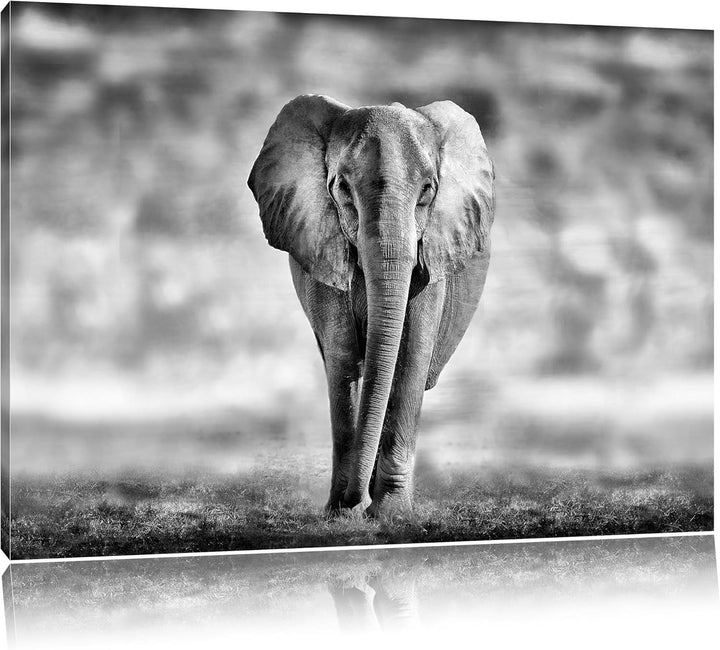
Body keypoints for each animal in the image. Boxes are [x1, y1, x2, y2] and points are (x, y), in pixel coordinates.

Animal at [248, 94, 495, 517]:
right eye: (343, 189)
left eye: (427, 191)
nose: (355, 502)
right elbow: (343, 355)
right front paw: (341, 514)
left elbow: (410, 355)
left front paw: (391, 514)